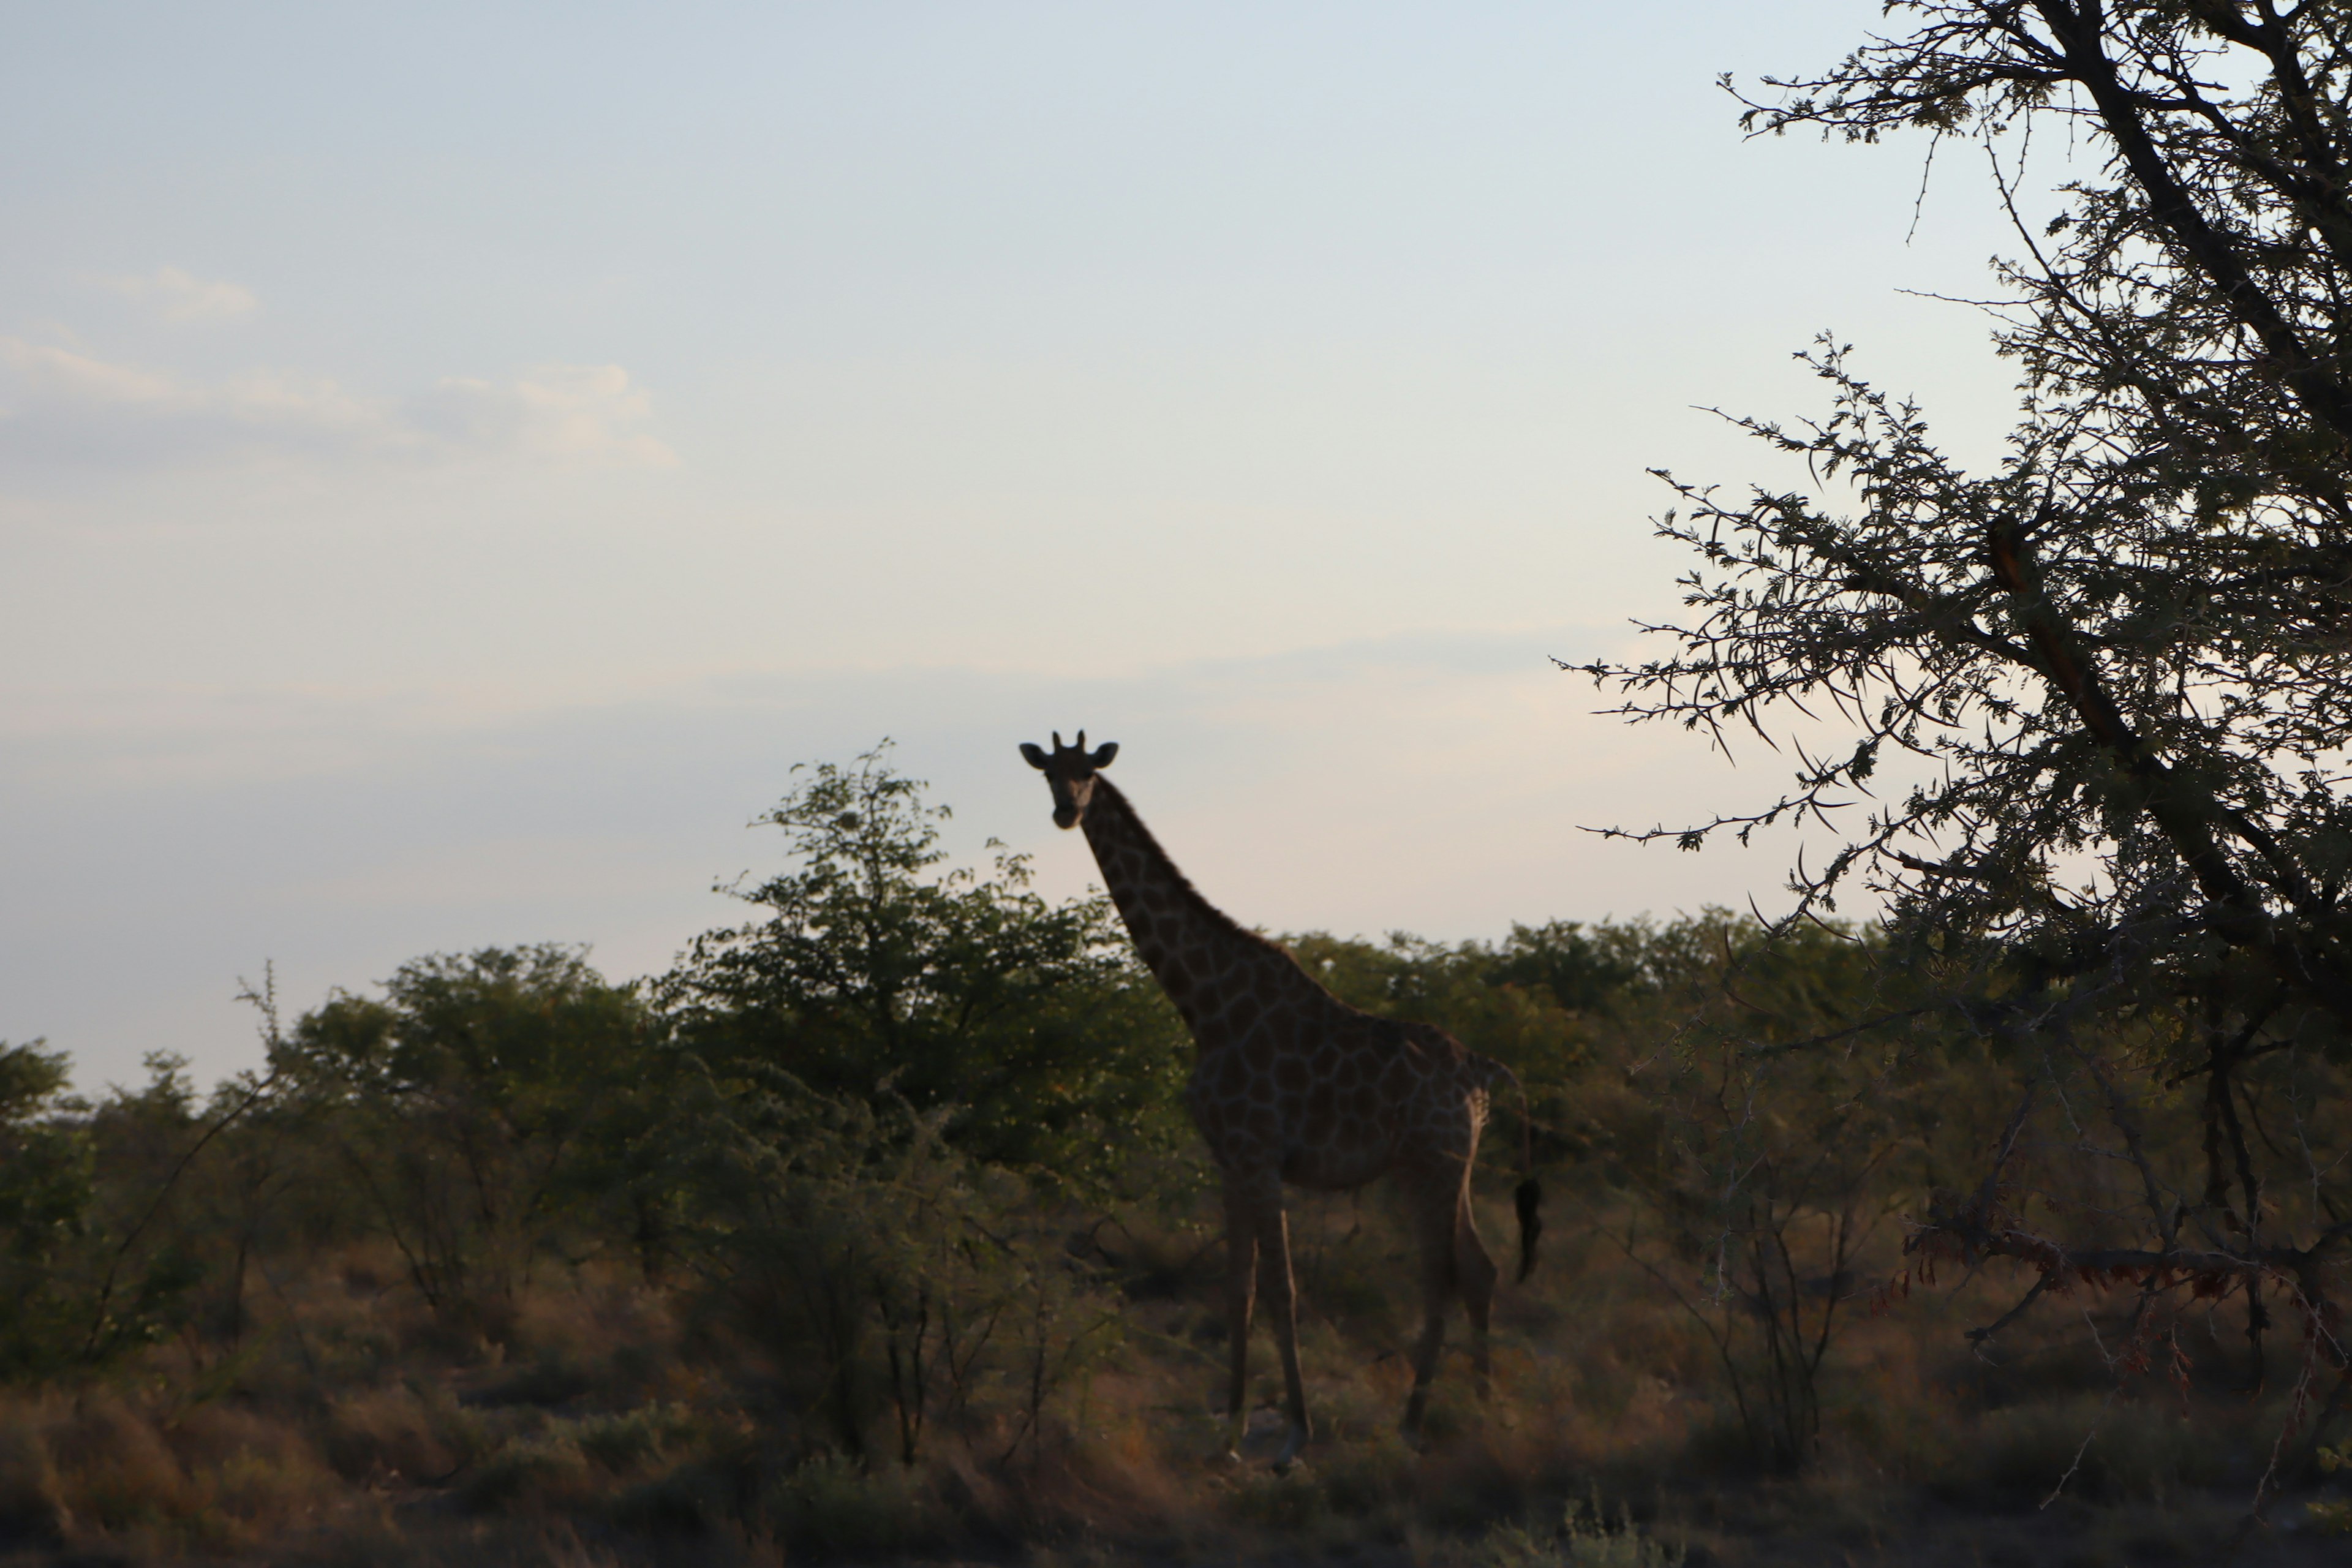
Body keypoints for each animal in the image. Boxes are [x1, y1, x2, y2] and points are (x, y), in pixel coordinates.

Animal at [1016, 728, 1543, 1466]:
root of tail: (1481, 1070)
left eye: (1088, 771)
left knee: (1441, 1274)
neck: (1204, 1007)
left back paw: (1413, 1426)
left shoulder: (1262, 1156)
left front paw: (1294, 1437)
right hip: (1444, 1164)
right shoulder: (1229, 1159)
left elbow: (1282, 1289)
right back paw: (1487, 1413)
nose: (1066, 811)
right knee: (1478, 1268)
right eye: (1048, 774)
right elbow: (1238, 1287)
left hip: (1433, 1163)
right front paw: (1230, 1433)